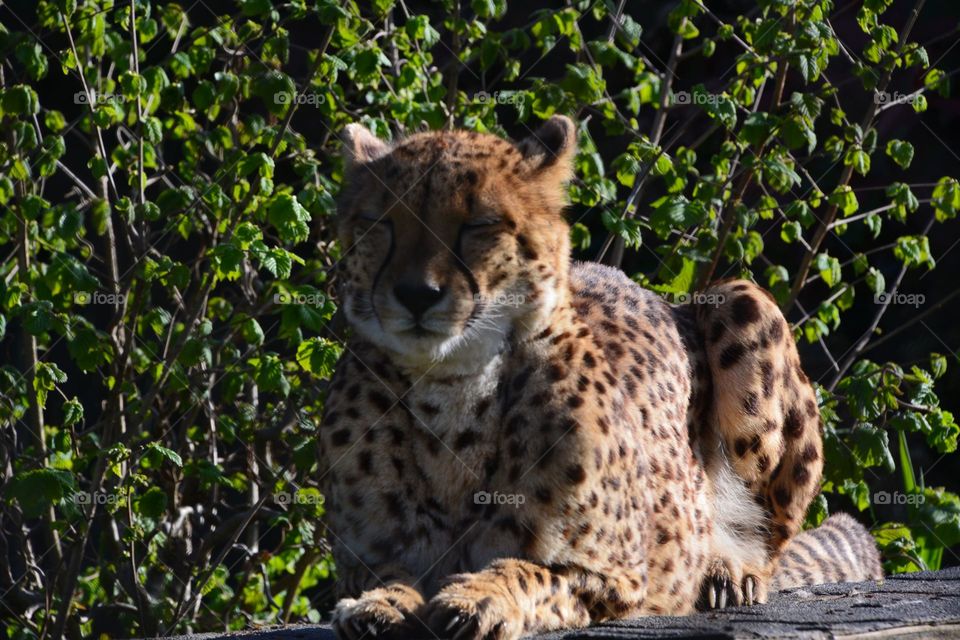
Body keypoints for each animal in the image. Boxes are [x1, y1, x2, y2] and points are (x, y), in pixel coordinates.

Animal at [318, 115, 881, 640]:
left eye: (478, 225)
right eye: (380, 222)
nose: (417, 294)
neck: (452, 392)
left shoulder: (617, 574)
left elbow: (527, 571)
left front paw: (476, 597)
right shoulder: (359, 561)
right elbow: (384, 575)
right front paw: (380, 604)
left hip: (740, 301)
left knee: (773, 533)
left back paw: (729, 565)